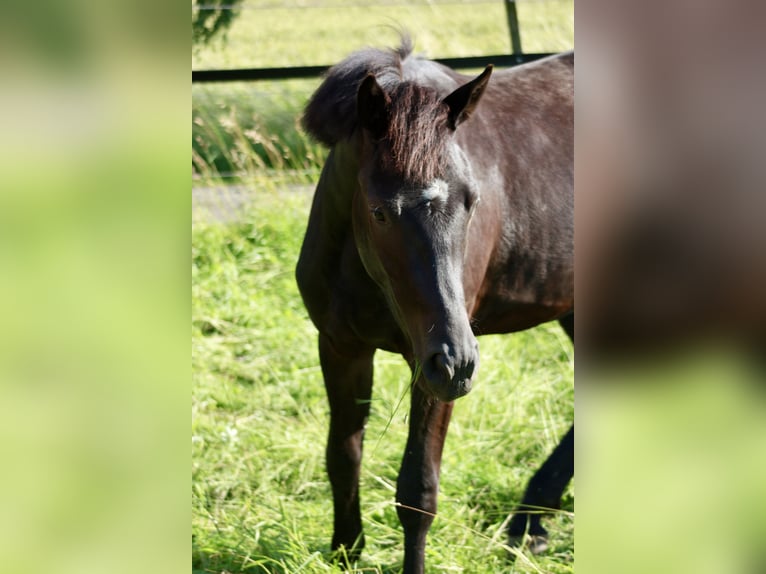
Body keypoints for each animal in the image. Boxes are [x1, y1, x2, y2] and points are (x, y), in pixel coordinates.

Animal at [296, 38, 572, 572]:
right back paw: (531, 519)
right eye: (379, 211)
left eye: (472, 201)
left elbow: (418, 490)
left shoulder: (427, 369)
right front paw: (346, 549)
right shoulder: (340, 346)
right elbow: (343, 454)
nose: (458, 361)